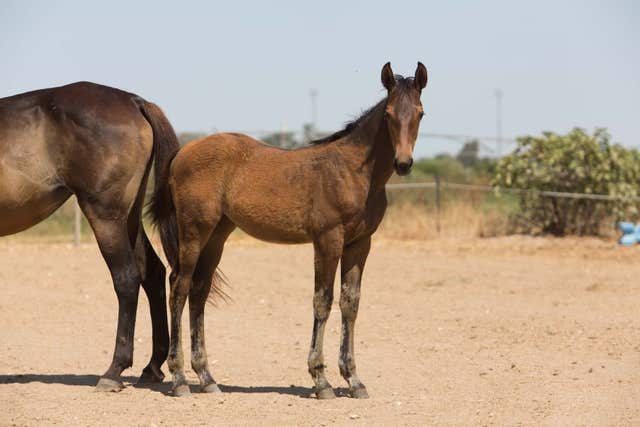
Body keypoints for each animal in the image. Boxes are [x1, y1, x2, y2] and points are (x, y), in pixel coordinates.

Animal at [0, 82, 179, 392]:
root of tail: (134, 102)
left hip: (105, 217)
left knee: (127, 279)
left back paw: (113, 372)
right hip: (128, 218)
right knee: (152, 273)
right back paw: (152, 367)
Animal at [149, 62, 428, 398]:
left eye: (420, 113)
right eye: (387, 114)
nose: (403, 163)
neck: (353, 172)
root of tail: (182, 152)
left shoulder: (360, 244)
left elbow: (350, 303)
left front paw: (354, 380)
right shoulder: (327, 240)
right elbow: (323, 301)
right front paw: (321, 380)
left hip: (216, 236)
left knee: (199, 291)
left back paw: (207, 377)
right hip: (193, 231)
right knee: (179, 287)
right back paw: (179, 379)